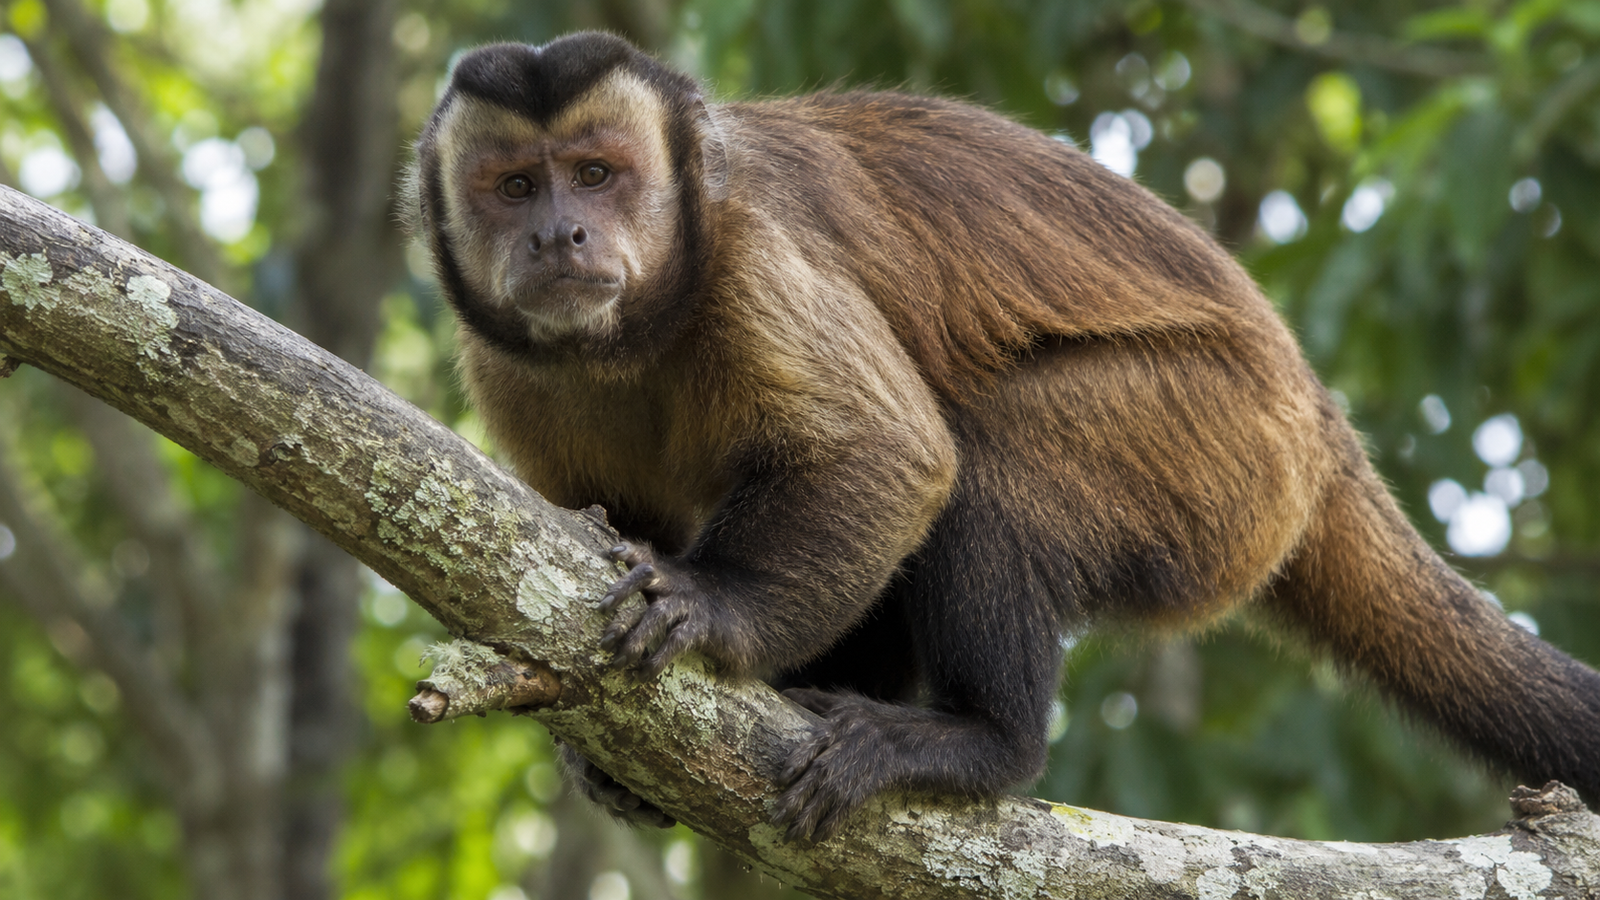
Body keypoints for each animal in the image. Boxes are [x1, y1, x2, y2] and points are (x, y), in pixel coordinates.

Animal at [410, 32, 1600, 842]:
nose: (560, 233)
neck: (635, 337)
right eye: (513, 186)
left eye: (598, 174)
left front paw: (713, 608)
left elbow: (894, 457)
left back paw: (983, 744)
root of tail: (1317, 420)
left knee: (988, 462)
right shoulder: (505, 368)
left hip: (1224, 452)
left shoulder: (754, 254)